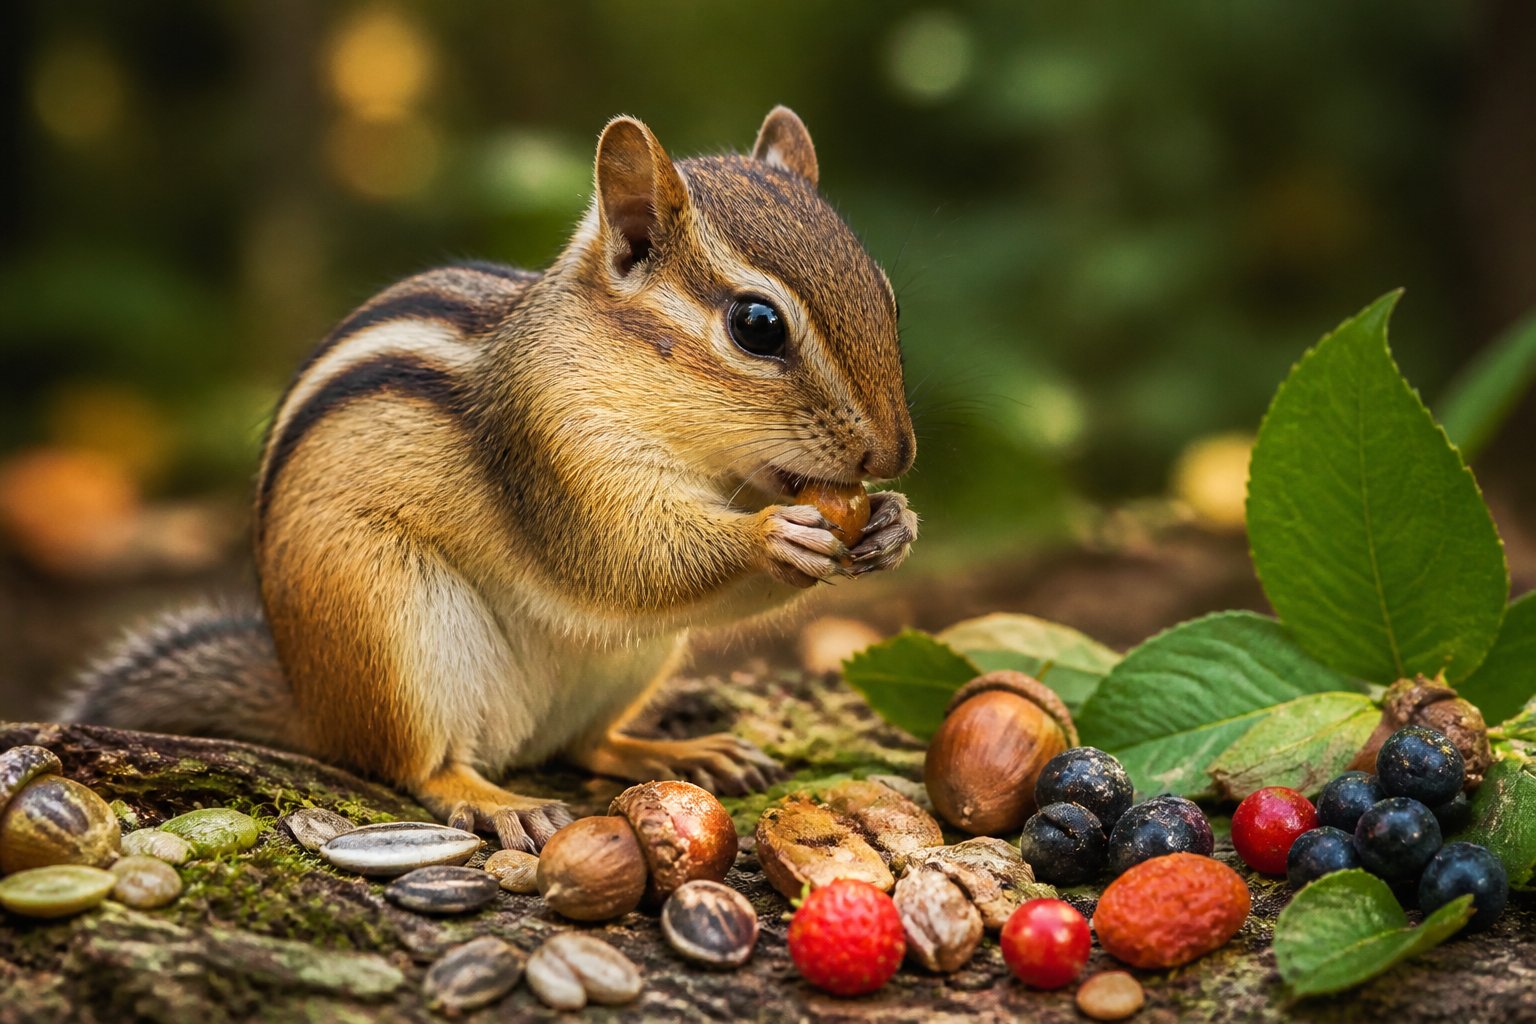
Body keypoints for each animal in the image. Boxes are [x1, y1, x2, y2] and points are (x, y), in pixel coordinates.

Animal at [63, 108, 919, 852]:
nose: (894, 457)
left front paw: (893, 526)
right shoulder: (551, 452)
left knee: (586, 743)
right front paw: (776, 534)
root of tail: (309, 700)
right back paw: (497, 801)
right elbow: (628, 559)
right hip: (387, 620)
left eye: (888, 295)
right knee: (417, 765)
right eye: (756, 325)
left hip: (628, 662)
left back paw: (671, 753)